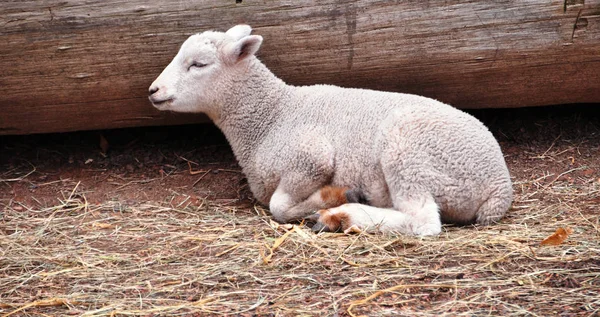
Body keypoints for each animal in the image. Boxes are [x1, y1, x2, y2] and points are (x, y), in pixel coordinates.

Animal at [148, 24, 512, 235]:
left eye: (199, 64)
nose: (153, 91)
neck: (271, 116)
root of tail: (499, 186)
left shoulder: (310, 157)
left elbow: (278, 206)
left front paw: (330, 197)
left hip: (408, 154)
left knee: (423, 222)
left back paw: (342, 214)